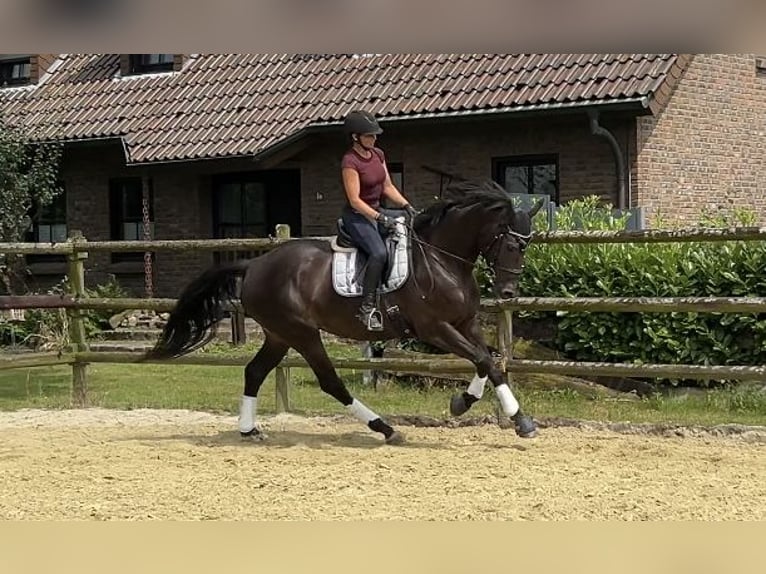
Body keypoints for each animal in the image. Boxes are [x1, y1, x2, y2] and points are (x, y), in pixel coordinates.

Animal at [144, 180, 544, 446]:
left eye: (527, 245)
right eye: (513, 244)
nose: (508, 293)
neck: (441, 259)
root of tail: (255, 265)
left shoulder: (465, 322)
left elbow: (489, 360)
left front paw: (471, 404)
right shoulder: (435, 328)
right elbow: (483, 359)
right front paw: (515, 419)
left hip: (279, 335)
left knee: (254, 372)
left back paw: (250, 429)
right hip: (302, 333)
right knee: (329, 381)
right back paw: (385, 429)